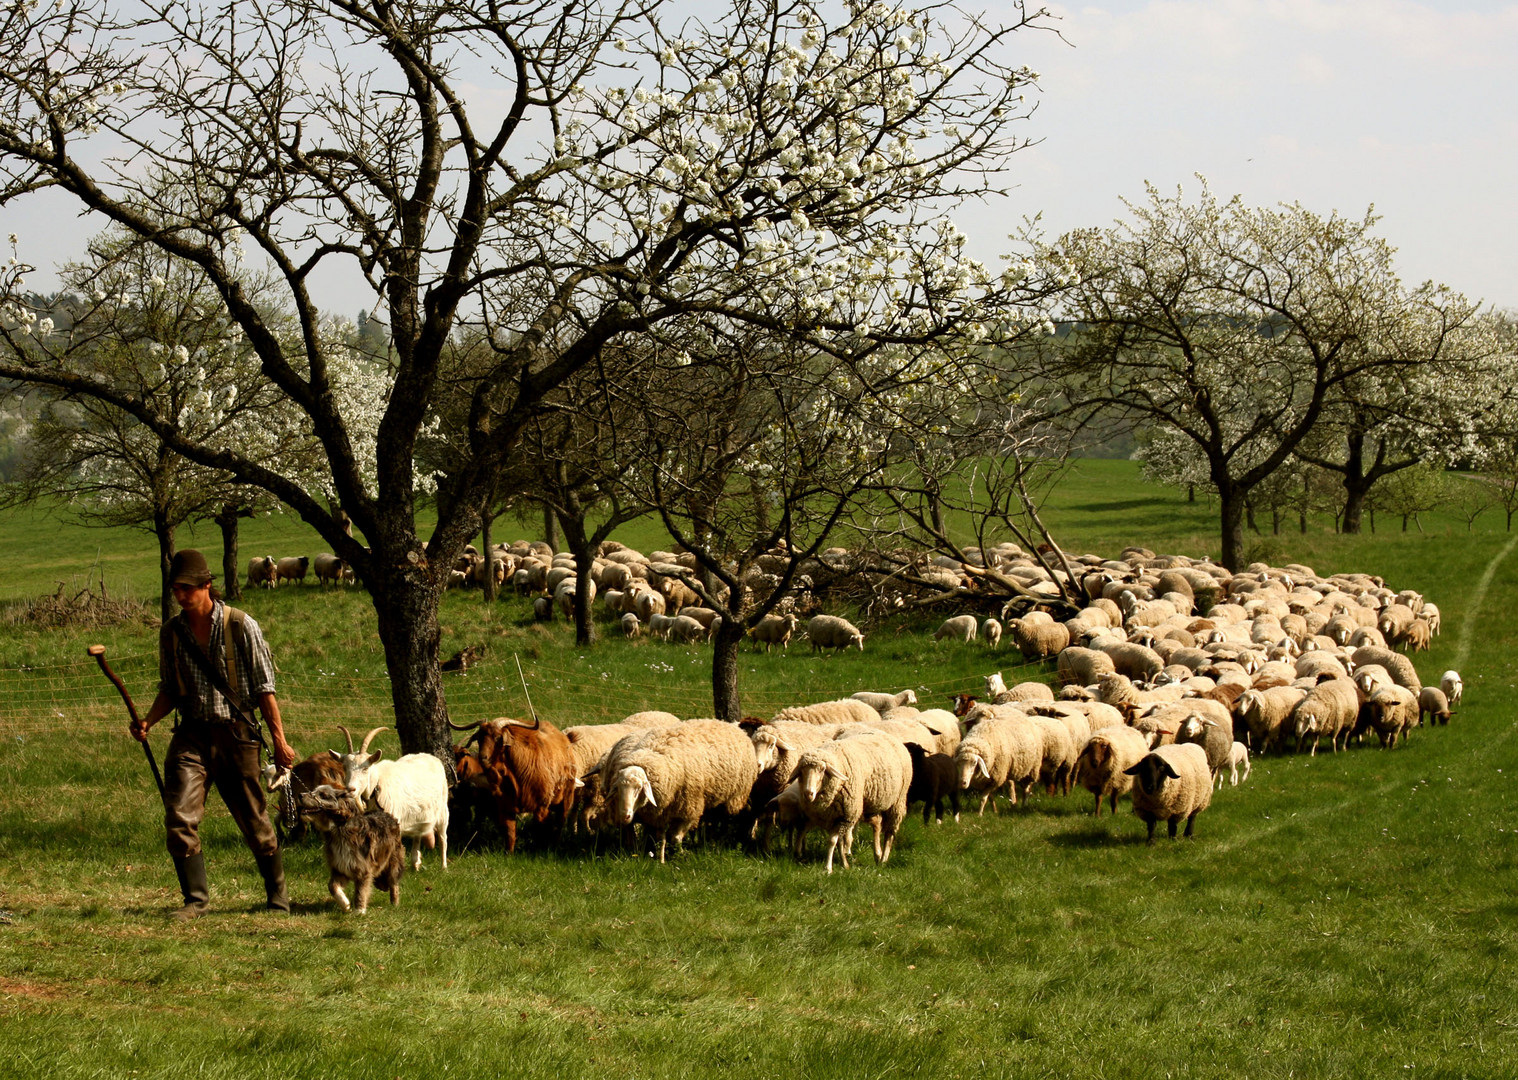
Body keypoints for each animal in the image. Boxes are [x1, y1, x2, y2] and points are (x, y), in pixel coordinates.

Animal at [292, 783, 403, 911]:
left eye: (323, 795)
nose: (300, 795)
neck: (339, 829)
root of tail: (385, 813)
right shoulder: (340, 868)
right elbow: (332, 886)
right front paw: (345, 904)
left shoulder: (363, 869)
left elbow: (360, 891)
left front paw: (359, 911)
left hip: (393, 862)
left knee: (394, 884)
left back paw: (394, 904)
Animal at [329, 726, 446, 868]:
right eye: (345, 767)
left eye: (365, 768)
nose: (351, 789)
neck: (377, 785)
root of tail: (431, 757)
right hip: (418, 814)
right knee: (418, 834)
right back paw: (415, 863)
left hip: (442, 809)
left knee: (443, 837)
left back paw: (443, 867)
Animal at [601, 723, 759, 868]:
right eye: (618, 788)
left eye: (639, 788)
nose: (624, 816)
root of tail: (733, 726)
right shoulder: (660, 813)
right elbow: (660, 838)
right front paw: (659, 858)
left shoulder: (689, 809)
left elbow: (675, 837)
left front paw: (681, 855)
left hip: (733, 798)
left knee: (725, 820)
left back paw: (717, 843)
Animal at [795, 732, 910, 874]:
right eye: (801, 771)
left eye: (822, 769)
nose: (808, 793)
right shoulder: (835, 817)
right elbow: (838, 841)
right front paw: (844, 863)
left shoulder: (845, 816)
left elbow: (832, 841)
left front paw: (828, 868)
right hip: (869, 804)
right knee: (877, 824)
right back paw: (877, 855)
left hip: (897, 802)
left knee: (890, 832)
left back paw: (883, 858)